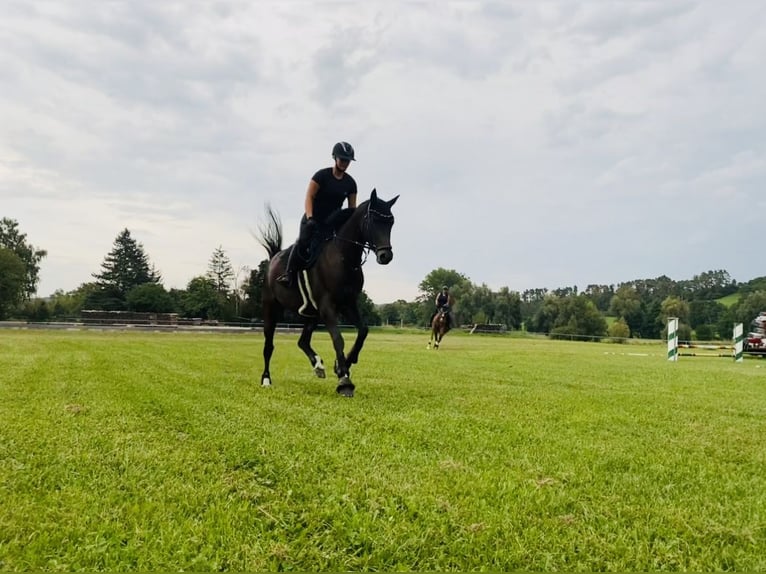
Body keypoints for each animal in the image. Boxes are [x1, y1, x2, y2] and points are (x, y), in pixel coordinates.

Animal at [256, 189, 399, 397]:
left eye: (391, 222)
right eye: (373, 220)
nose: (385, 255)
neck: (343, 257)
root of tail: (273, 259)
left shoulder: (348, 303)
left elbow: (363, 331)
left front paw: (345, 363)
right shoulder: (328, 306)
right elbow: (338, 339)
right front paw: (345, 380)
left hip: (312, 314)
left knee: (302, 341)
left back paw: (318, 365)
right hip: (271, 308)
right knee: (268, 345)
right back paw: (266, 379)